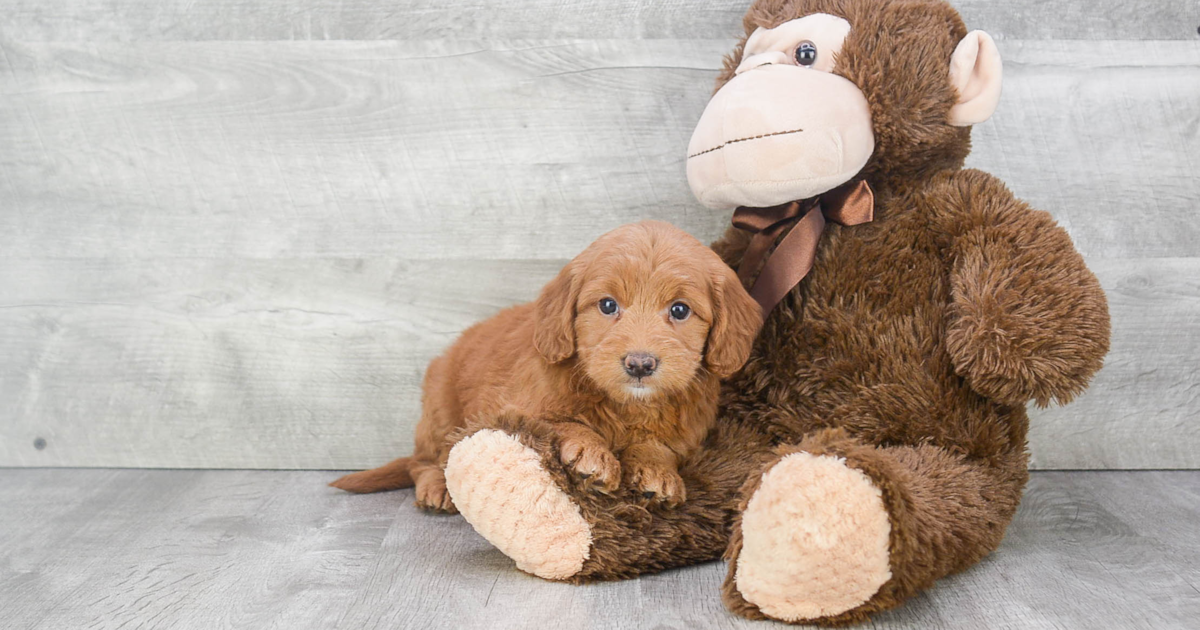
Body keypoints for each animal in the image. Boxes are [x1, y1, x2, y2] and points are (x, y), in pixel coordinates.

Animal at [328, 220, 758, 511]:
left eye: (680, 310)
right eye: (607, 305)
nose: (640, 364)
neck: (626, 404)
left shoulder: (684, 433)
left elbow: (658, 445)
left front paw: (657, 473)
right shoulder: (512, 407)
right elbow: (562, 421)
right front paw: (593, 454)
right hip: (439, 411)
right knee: (425, 459)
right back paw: (435, 486)